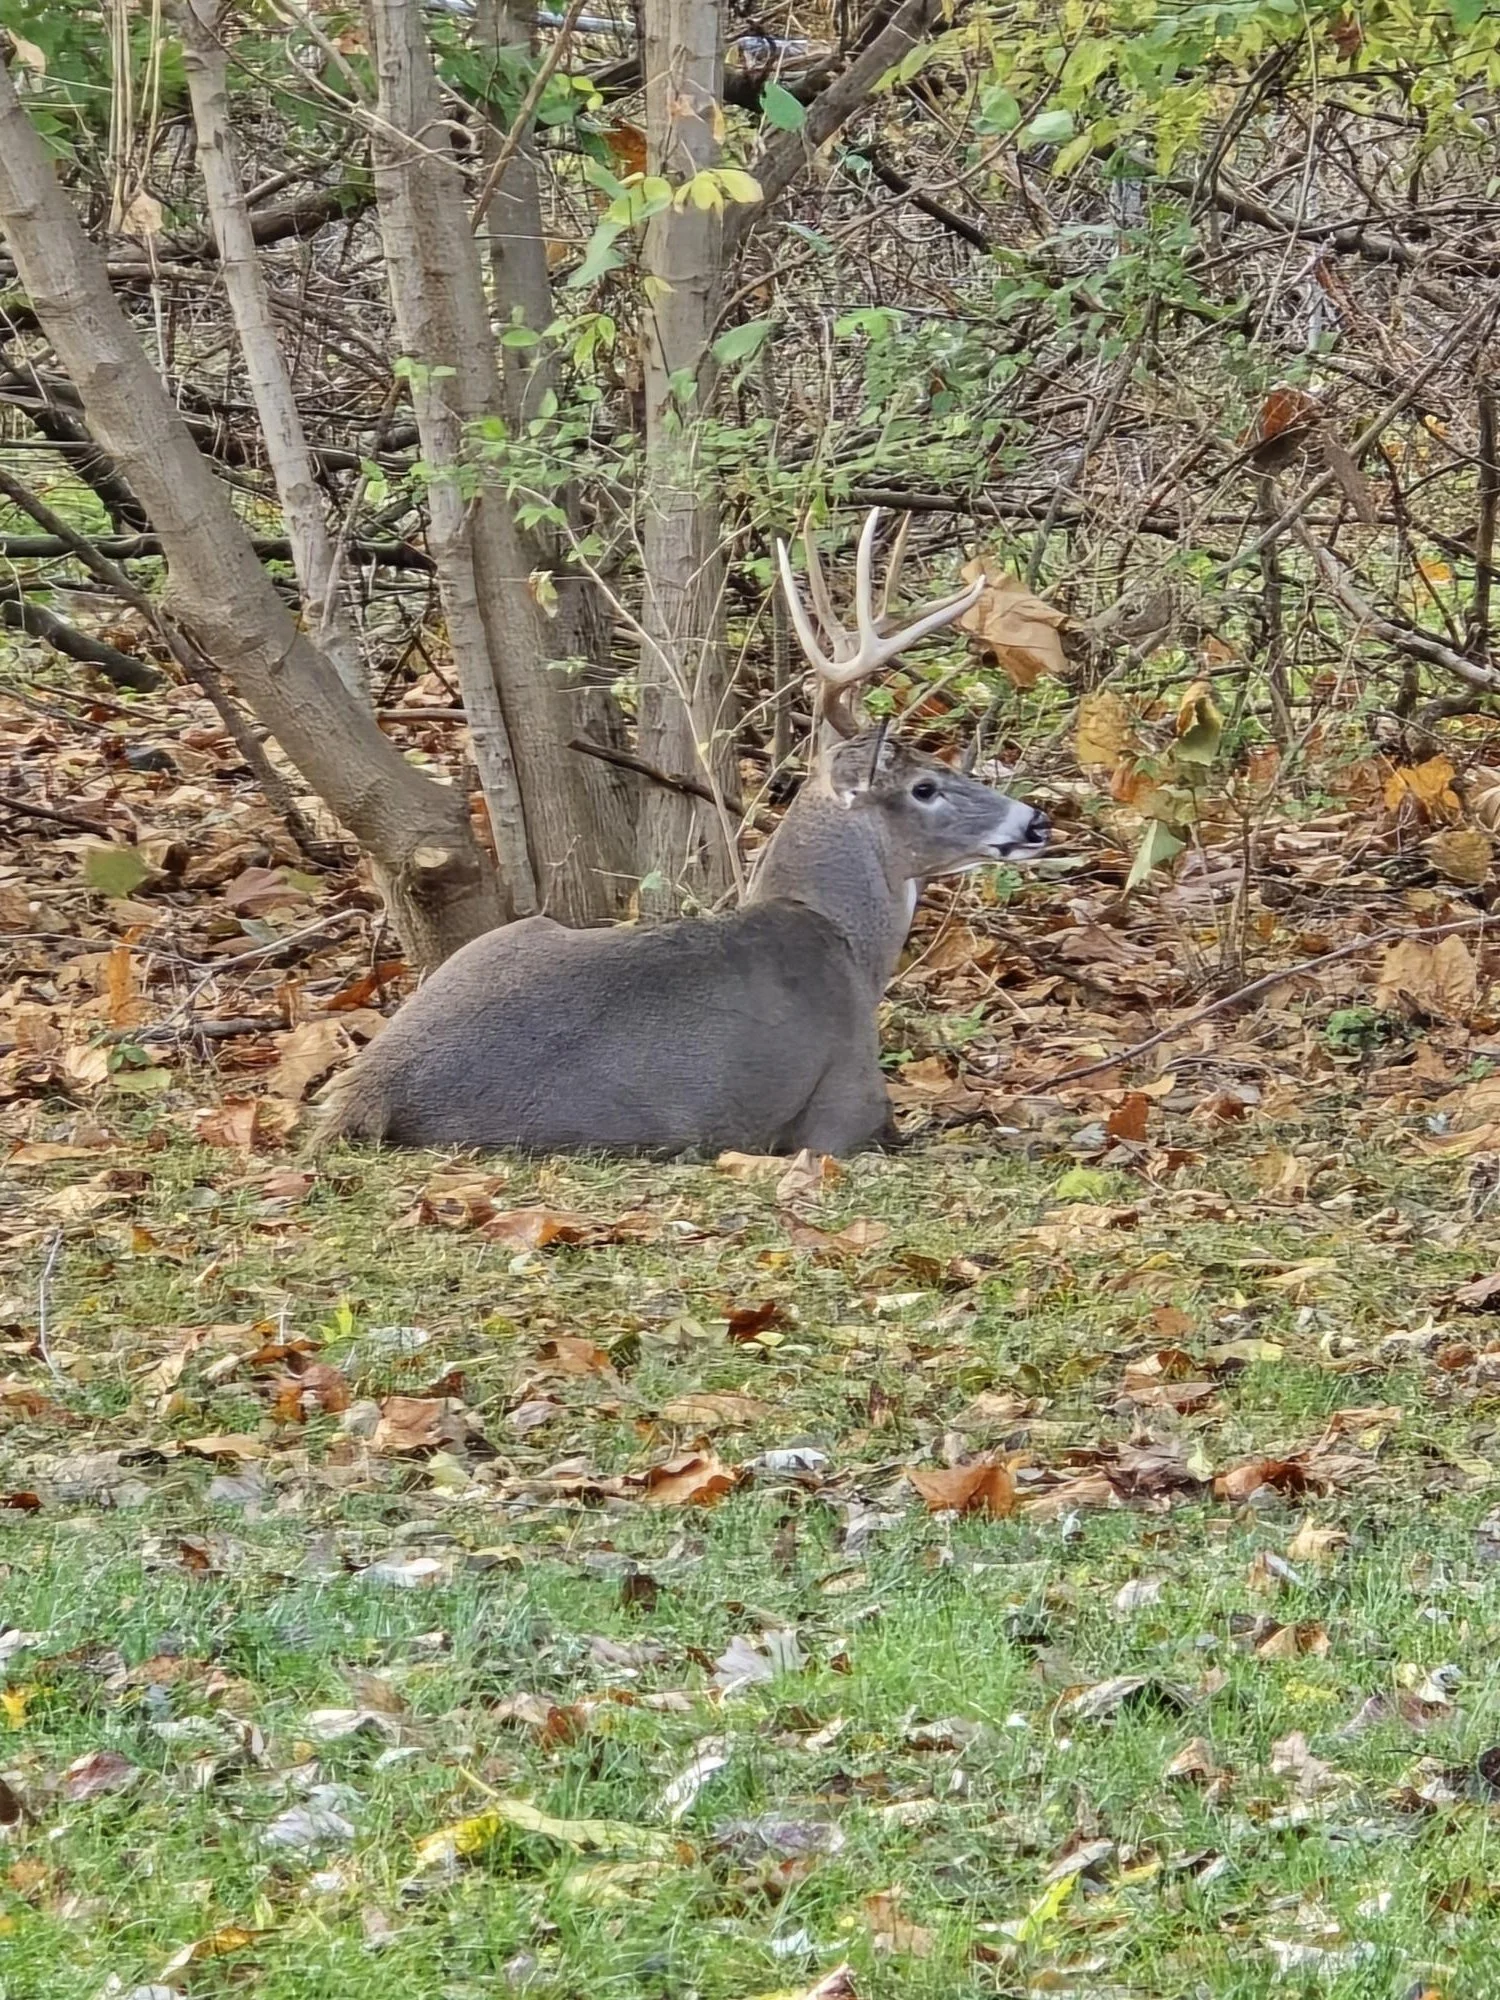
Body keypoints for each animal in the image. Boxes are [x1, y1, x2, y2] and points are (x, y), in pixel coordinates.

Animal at [315, 509, 1050, 1157]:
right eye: (925, 787)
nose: (1036, 821)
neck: (841, 940)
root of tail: (370, 1094)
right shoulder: (846, 1108)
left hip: (506, 937)